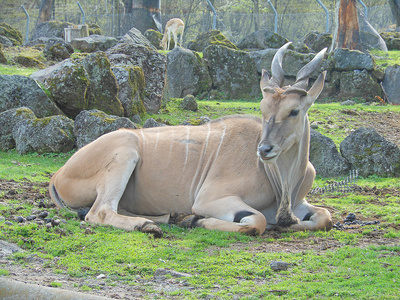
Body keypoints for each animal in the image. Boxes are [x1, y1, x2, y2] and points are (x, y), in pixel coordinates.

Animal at [49, 41, 332, 237]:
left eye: (294, 111)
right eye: (263, 110)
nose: (264, 149)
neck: (280, 180)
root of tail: (58, 175)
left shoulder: (299, 204)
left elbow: (324, 217)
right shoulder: (209, 199)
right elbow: (256, 222)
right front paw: (196, 220)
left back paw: (170, 217)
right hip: (126, 151)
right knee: (100, 211)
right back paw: (148, 225)